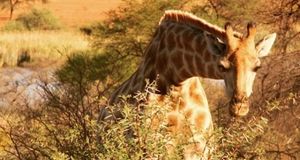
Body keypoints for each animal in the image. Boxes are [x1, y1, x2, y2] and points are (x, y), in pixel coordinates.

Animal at [103, 10, 276, 159]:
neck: (176, 81)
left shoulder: (200, 148)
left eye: (257, 67)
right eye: (222, 66)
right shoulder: (153, 147)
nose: (239, 107)